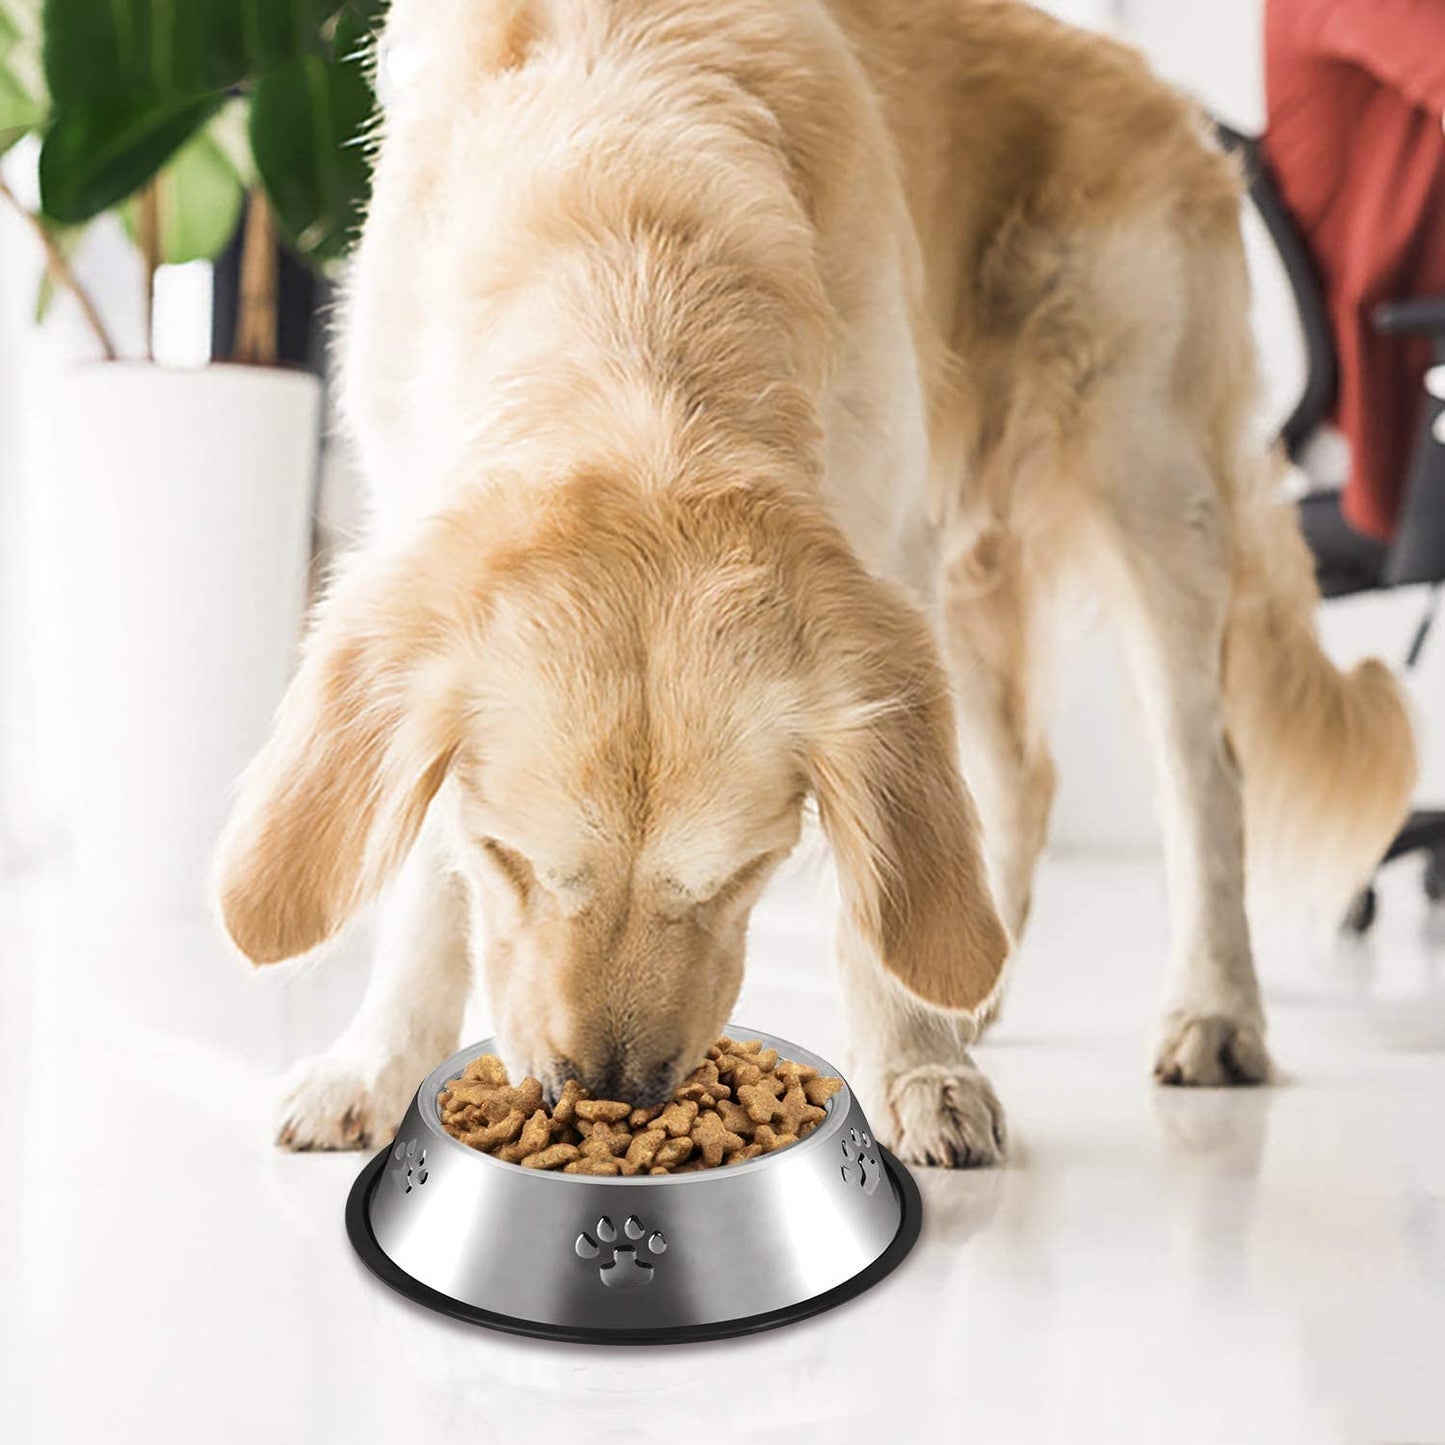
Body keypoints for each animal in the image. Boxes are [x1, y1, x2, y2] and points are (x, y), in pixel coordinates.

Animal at [210, 0, 1410, 1167]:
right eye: (513, 860)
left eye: (740, 873)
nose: (609, 1097)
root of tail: (1170, 97)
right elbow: (425, 874)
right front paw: (371, 1063)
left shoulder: (886, 549)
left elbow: (871, 869)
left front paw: (917, 1068)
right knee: (1020, 773)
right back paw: (983, 981)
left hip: (1148, 484)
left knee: (1202, 774)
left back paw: (1211, 1010)